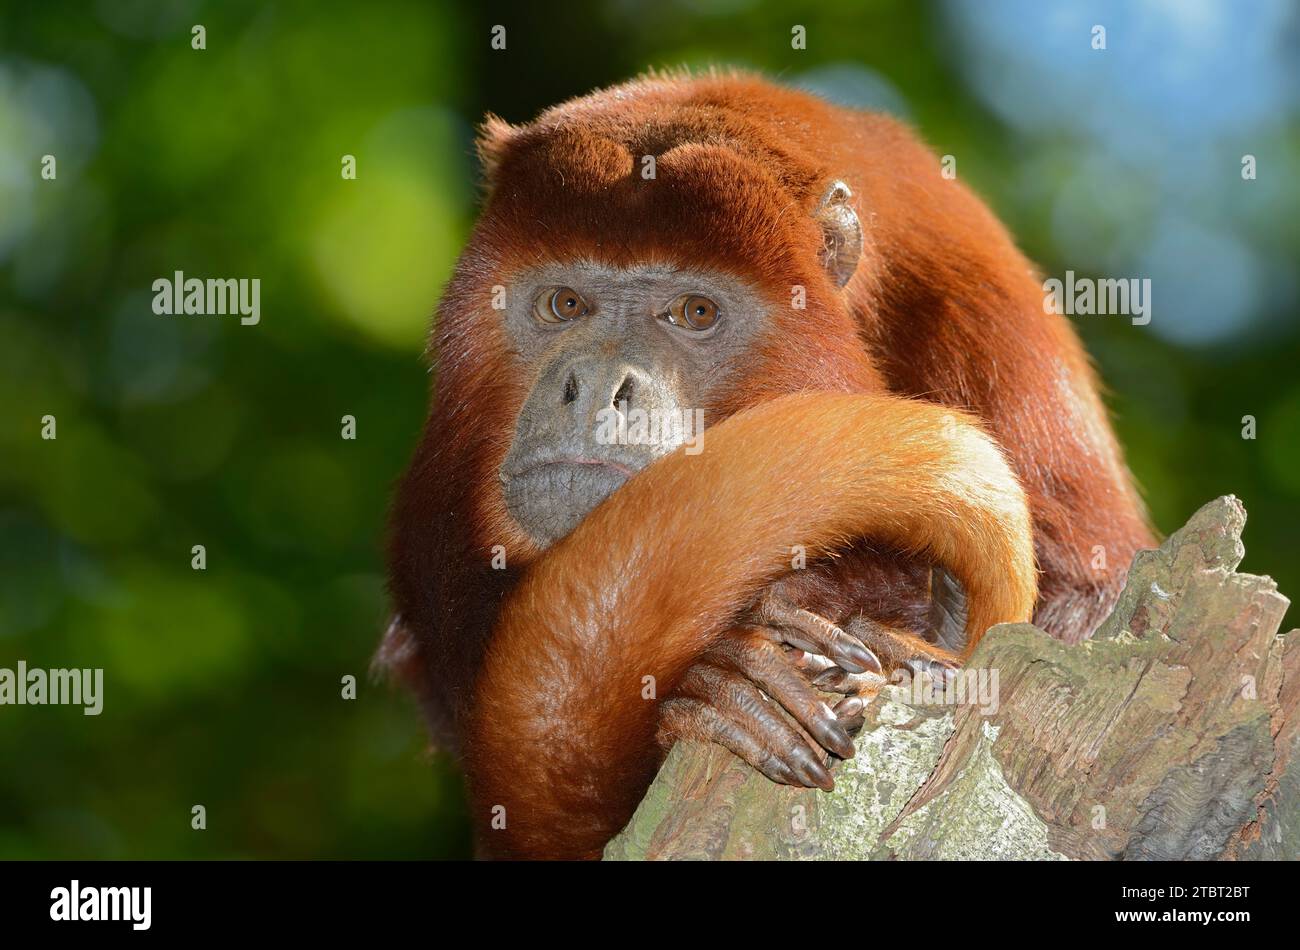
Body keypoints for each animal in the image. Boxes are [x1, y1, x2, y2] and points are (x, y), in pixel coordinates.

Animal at [379, 72, 1154, 862]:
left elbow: (1087, 594)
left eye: (695, 312)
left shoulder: (982, 309)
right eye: (565, 303)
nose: (594, 384)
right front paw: (717, 686)